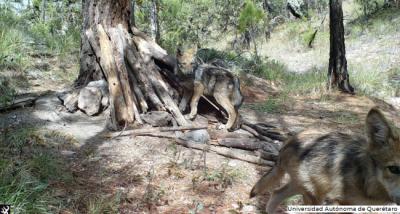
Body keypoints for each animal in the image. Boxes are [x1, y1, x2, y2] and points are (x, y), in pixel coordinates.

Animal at [250, 108, 400, 213]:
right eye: (394, 169)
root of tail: (289, 141)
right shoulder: (338, 202)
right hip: (314, 196)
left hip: (303, 189)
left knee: (275, 194)